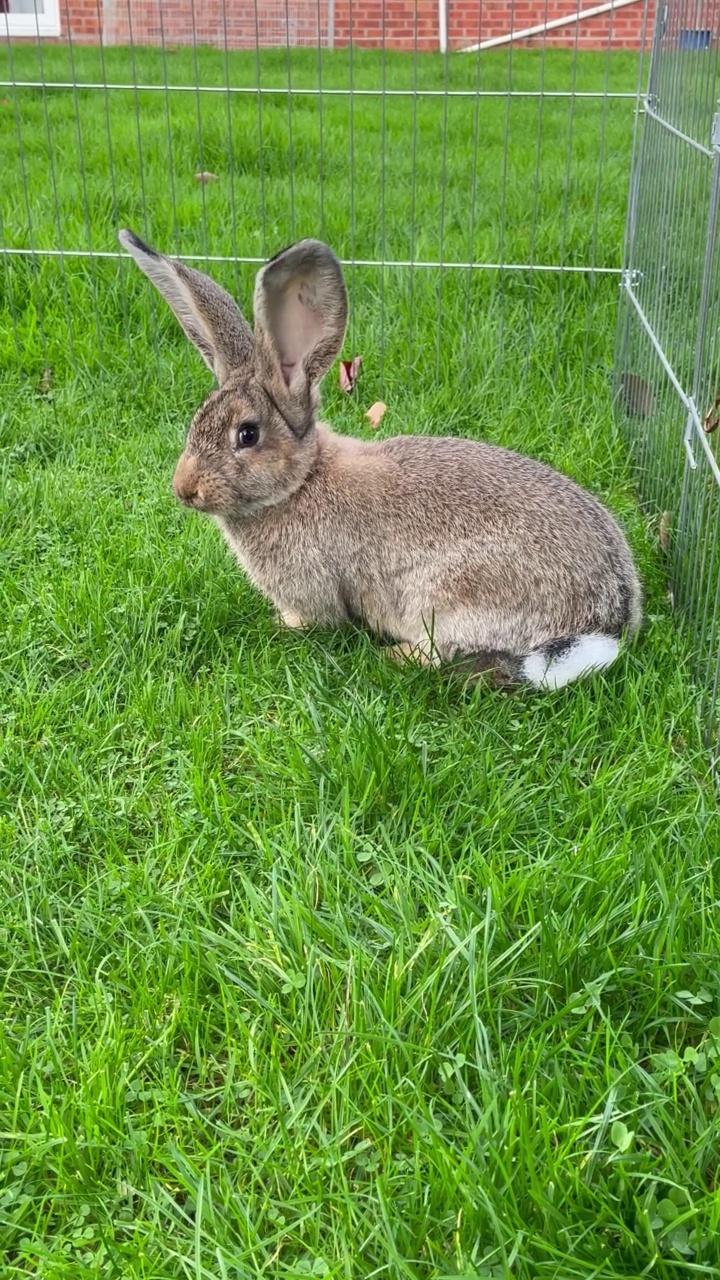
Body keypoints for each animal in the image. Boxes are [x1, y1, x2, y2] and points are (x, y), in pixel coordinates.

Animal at [119, 230, 638, 691]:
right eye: (196, 421)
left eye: (247, 434)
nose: (184, 489)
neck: (301, 483)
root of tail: (611, 618)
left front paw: (281, 626)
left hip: (447, 598)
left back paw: (393, 656)